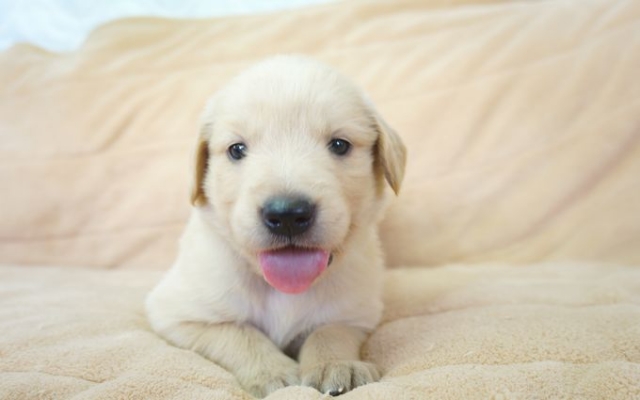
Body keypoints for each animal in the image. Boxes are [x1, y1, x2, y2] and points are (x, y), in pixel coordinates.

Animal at [145, 55, 406, 397]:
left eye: (340, 145)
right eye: (236, 149)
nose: (287, 215)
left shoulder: (358, 312)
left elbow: (330, 330)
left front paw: (336, 364)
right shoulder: (178, 314)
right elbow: (238, 333)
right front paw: (273, 372)